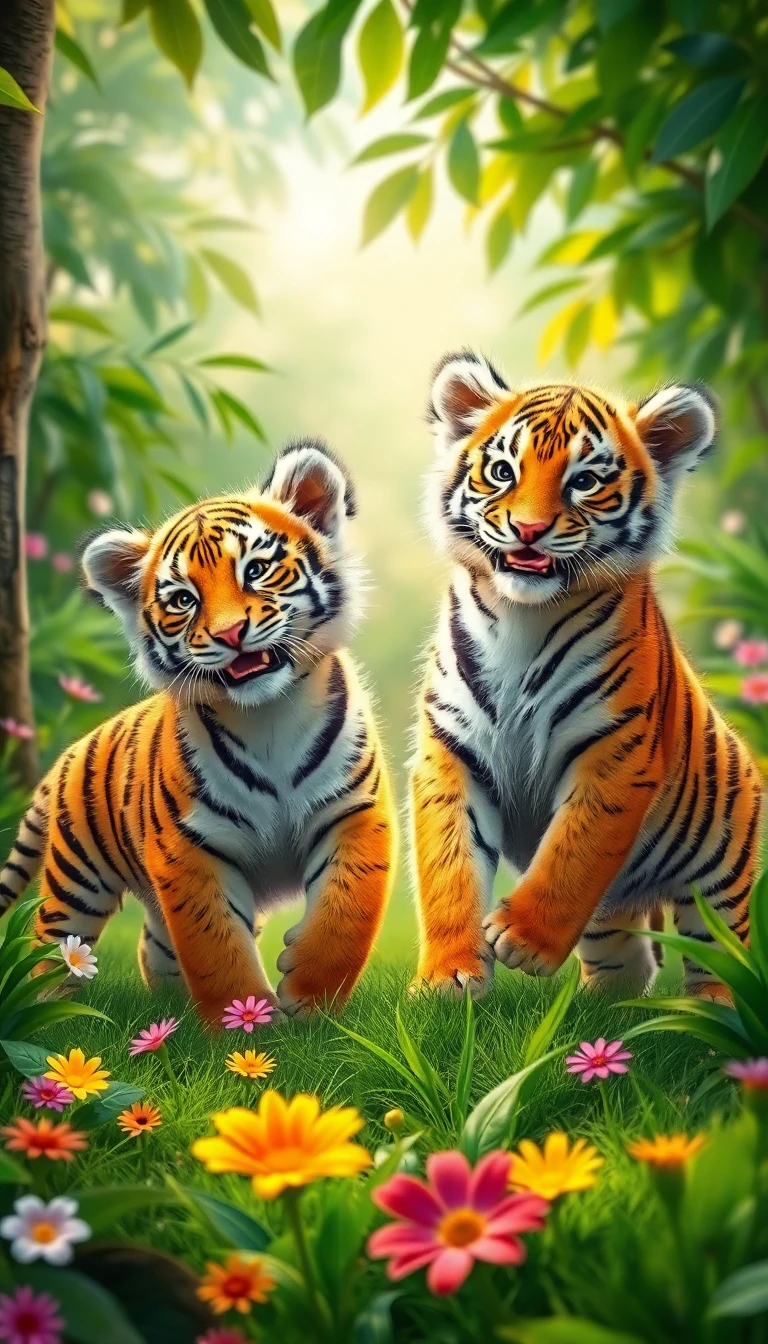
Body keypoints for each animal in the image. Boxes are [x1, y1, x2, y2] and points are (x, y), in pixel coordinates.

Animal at [0, 441, 397, 1023]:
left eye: (257, 570)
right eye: (184, 599)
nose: (231, 634)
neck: (268, 716)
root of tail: (67, 755)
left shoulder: (355, 811)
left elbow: (345, 915)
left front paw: (310, 1003)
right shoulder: (190, 848)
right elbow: (215, 946)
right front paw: (249, 1025)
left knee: (153, 947)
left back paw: (171, 1007)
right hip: (77, 878)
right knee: (52, 944)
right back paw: (48, 1016)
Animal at [410, 350, 762, 1003]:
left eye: (585, 482)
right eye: (502, 472)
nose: (528, 530)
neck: (521, 619)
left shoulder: (616, 754)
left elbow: (572, 854)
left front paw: (520, 940)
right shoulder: (451, 751)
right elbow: (449, 870)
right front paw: (448, 977)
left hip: (720, 875)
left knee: (717, 950)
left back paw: (709, 1011)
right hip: (613, 918)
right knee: (625, 958)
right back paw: (603, 1008)